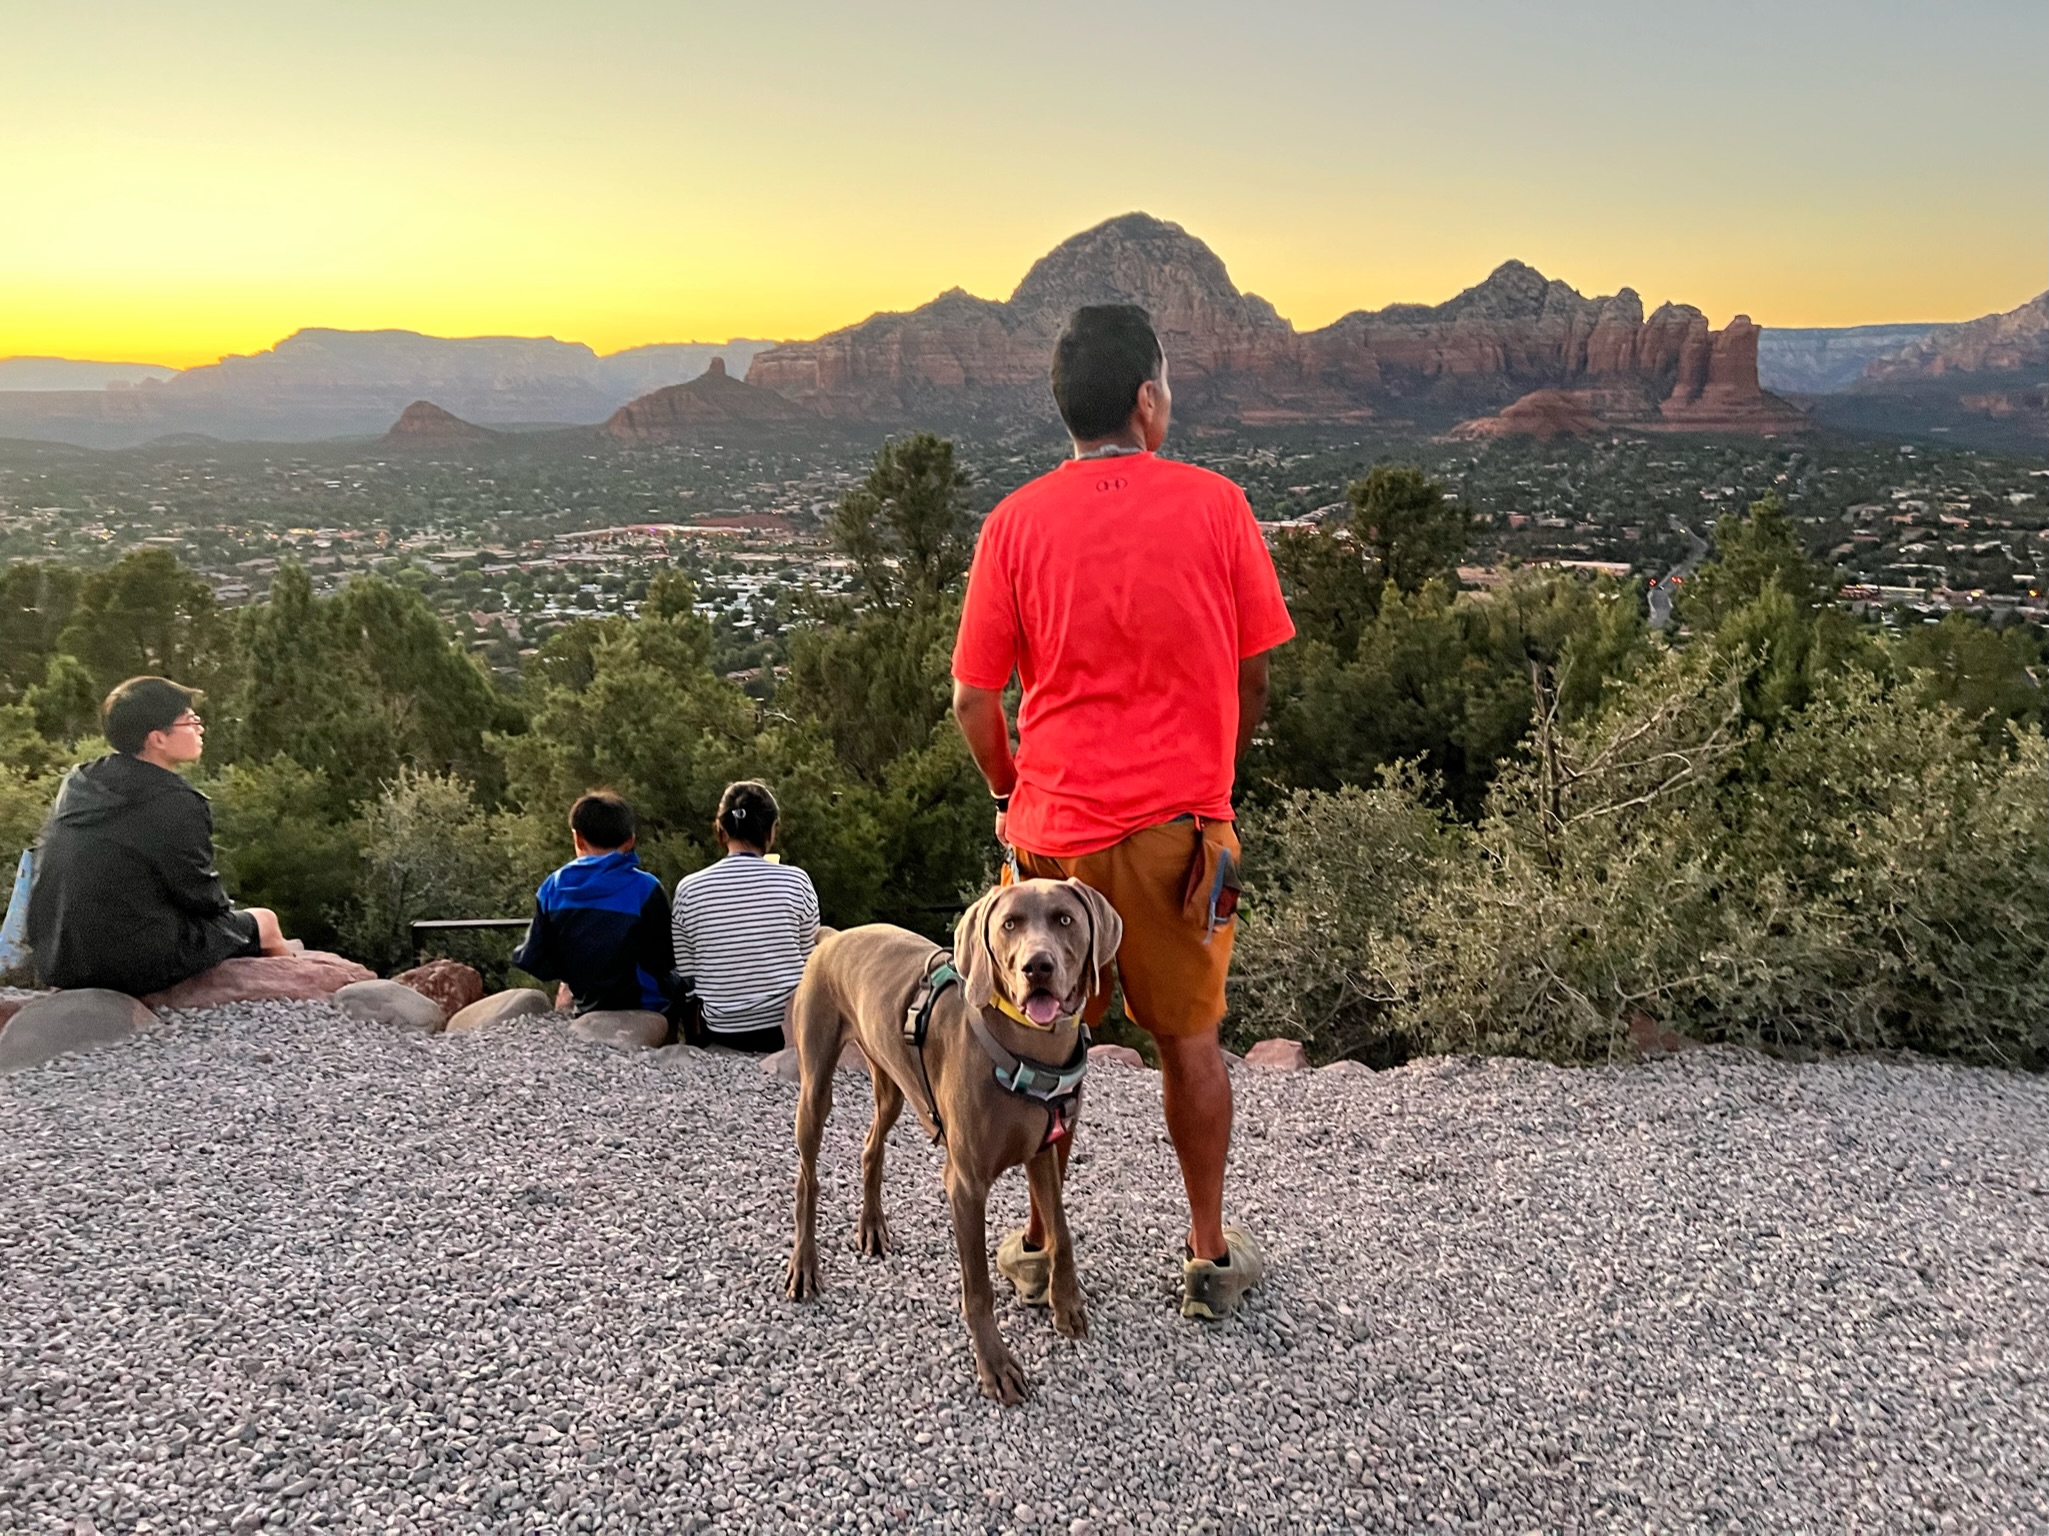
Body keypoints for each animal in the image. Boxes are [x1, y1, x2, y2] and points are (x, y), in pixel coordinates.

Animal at [778, 876, 1122, 1409]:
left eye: (1065, 919)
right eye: (1010, 924)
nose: (1037, 967)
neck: (1029, 1050)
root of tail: (832, 936)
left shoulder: (1044, 1151)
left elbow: (1061, 1233)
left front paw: (1066, 1304)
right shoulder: (966, 1183)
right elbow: (977, 1286)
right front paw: (995, 1366)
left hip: (891, 1081)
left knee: (871, 1146)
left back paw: (872, 1227)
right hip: (815, 1078)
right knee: (807, 1177)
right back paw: (804, 1265)